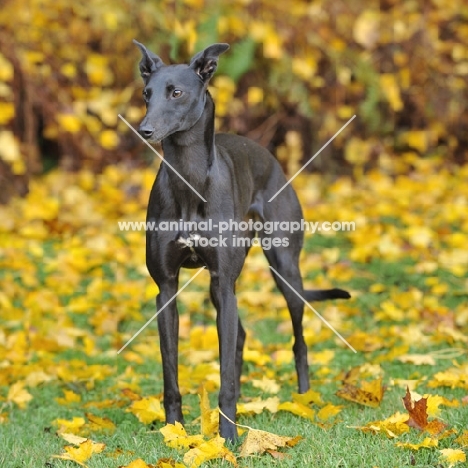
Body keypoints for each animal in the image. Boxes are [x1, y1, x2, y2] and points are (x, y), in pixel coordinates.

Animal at [133, 41, 350, 442]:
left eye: (177, 92)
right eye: (146, 94)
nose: (145, 130)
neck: (189, 181)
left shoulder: (224, 282)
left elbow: (226, 376)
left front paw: (228, 437)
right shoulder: (167, 289)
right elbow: (171, 371)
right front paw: (174, 431)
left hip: (283, 269)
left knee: (298, 339)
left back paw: (304, 397)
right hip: (221, 288)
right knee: (240, 337)